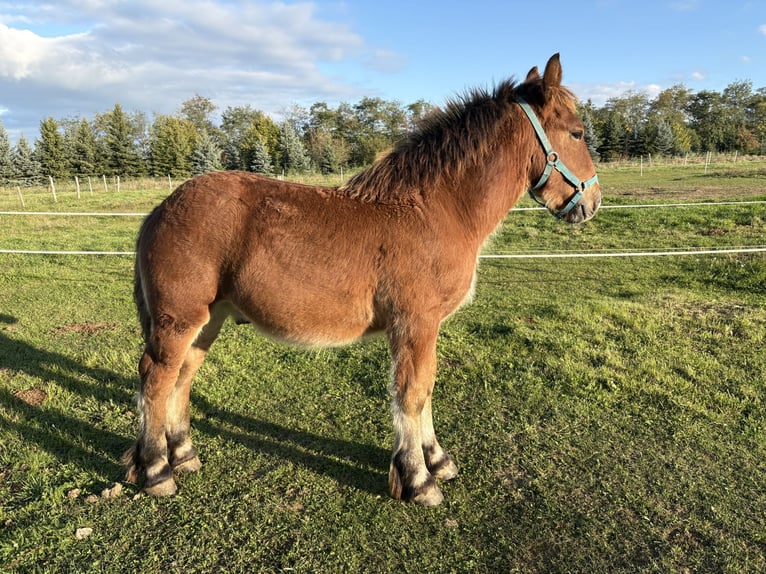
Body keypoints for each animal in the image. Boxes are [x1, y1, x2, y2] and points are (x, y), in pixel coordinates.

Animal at [124, 53, 601, 506]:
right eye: (577, 133)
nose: (593, 201)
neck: (434, 212)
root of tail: (161, 208)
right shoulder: (415, 323)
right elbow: (413, 393)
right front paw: (418, 479)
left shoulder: (424, 328)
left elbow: (426, 389)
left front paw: (437, 460)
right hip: (178, 320)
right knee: (156, 379)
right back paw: (157, 471)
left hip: (209, 320)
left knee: (182, 378)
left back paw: (183, 455)